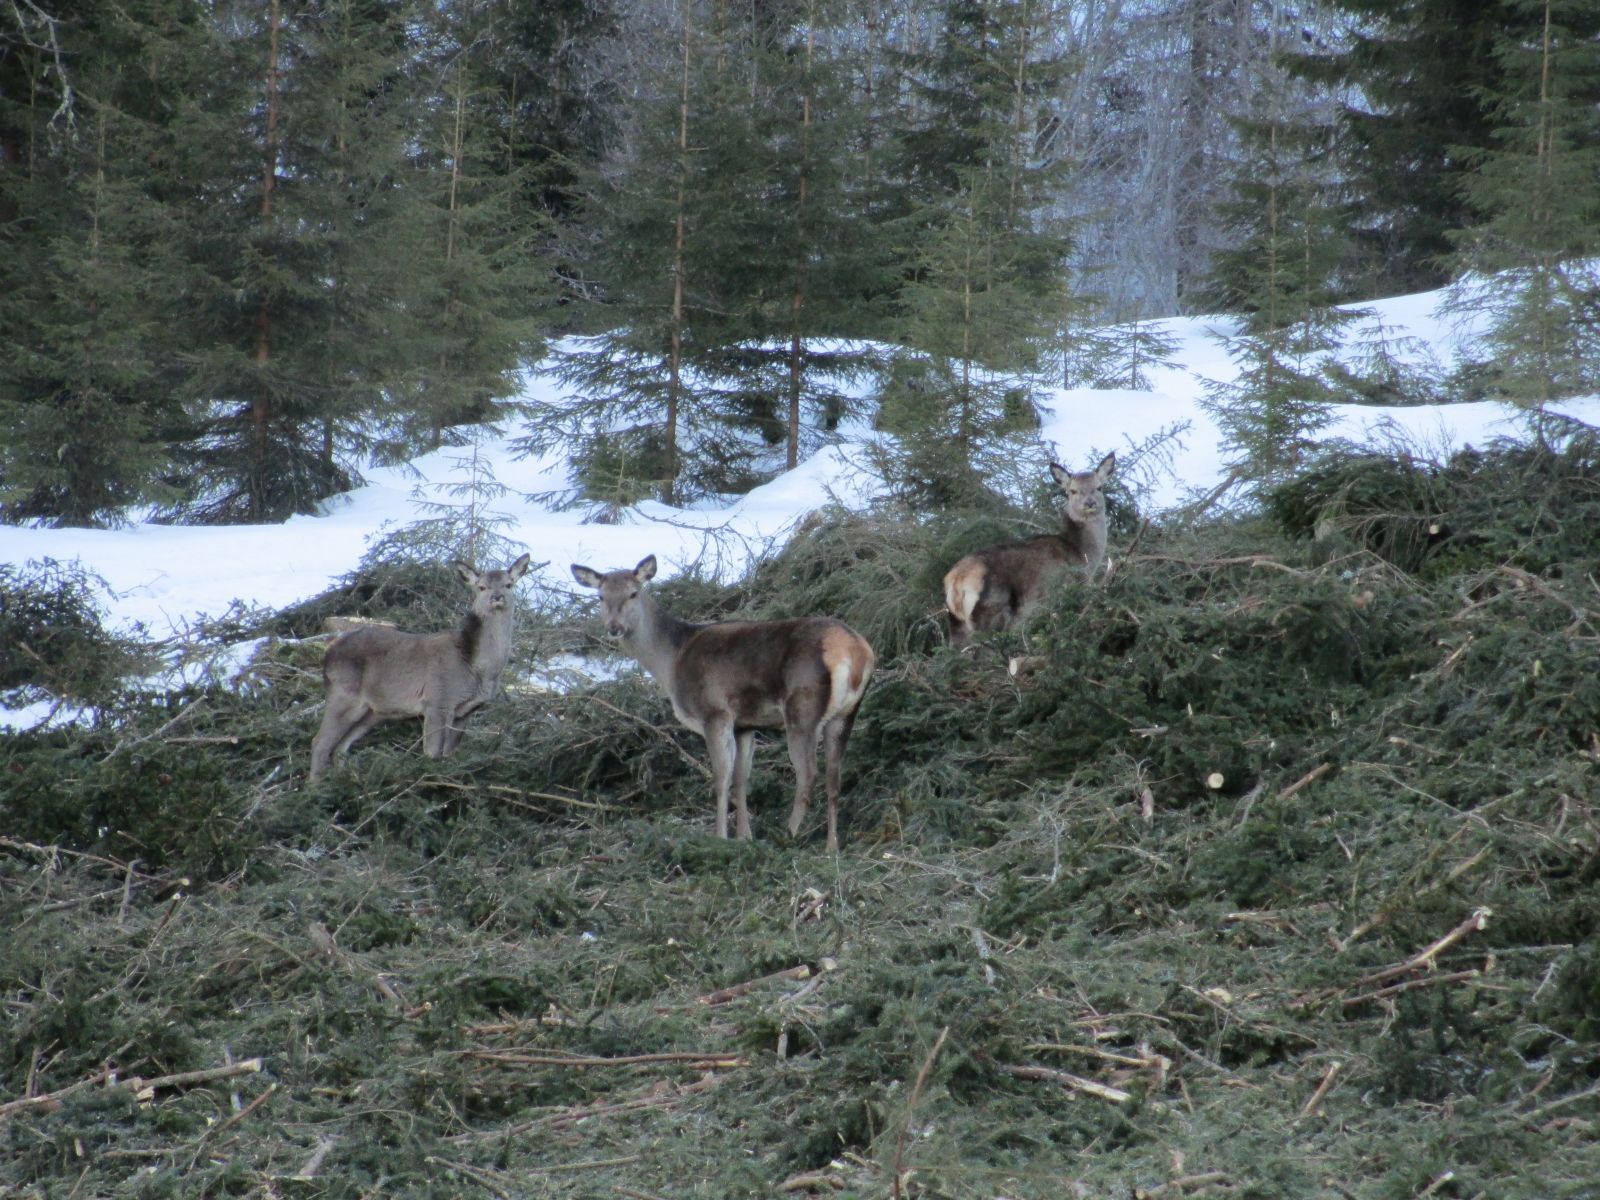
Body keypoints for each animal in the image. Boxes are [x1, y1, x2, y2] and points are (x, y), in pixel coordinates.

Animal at [309, 553, 531, 781]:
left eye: (509, 584)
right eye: (481, 587)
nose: (497, 597)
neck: (476, 667)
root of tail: (328, 653)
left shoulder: (465, 711)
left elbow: (449, 754)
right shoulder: (437, 700)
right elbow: (432, 753)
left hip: (372, 711)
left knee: (340, 747)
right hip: (344, 695)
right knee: (320, 743)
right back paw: (315, 787)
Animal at [570, 554, 875, 853]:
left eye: (633, 593)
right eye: (600, 596)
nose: (614, 628)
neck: (672, 662)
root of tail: (854, 652)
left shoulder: (714, 711)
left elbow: (721, 777)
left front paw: (719, 837)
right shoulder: (745, 724)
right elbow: (741, 778)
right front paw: (744, 837)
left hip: (802, 706)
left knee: (808, 773)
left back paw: (787, 836)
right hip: (845, 713)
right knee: (834, 775)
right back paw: (831, 847)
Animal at [943, 452, 1115, 649]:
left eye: (1099, 487)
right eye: (1072, 491)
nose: (1090, 503)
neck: (1081, 553)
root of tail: (956, 580)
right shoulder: (1066, 591)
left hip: (956, 621)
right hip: (991, 610)